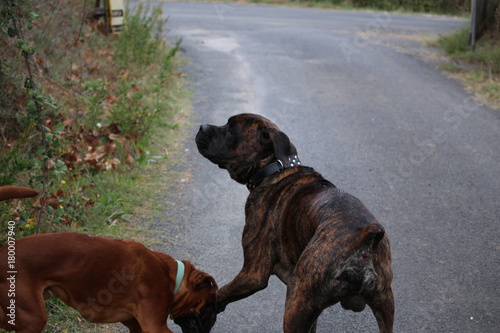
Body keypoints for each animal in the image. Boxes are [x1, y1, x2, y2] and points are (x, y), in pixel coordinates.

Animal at [0, 185, 219, 330]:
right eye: (207, 308)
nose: (210, 326)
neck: (171, 276)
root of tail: (3, 251)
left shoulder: (136, 325)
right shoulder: (155, 327)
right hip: (33, 318)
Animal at [195, 114, 394, 332]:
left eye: (231, 131)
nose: (202, 127)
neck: (274, 169)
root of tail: (366, 235)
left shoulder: (252, 275)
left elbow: (219, 293)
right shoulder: (311, 314)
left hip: (296, 303)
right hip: (383, 305)